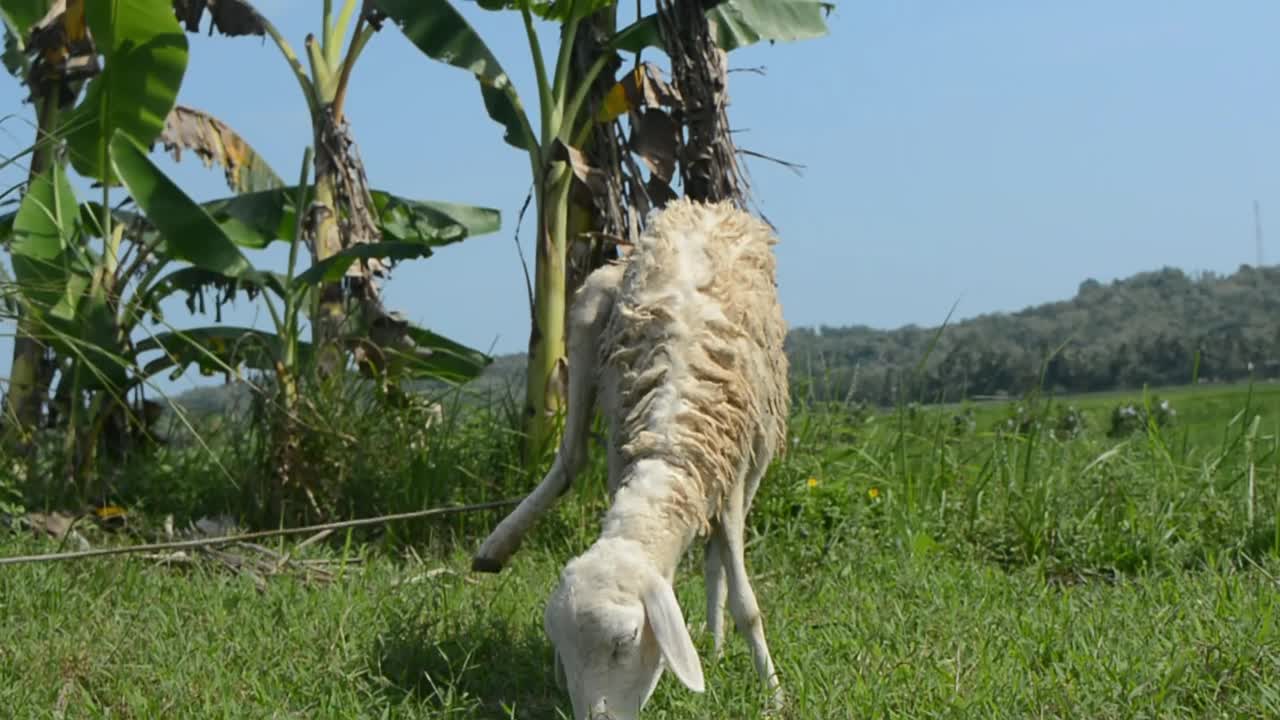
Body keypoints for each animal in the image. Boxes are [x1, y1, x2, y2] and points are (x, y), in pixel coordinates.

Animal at [473, 196, 788, 717]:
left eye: (625, 641)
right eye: (564, 650)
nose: (594, 718)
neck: (670, 449)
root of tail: (702, 204)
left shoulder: (731, 469)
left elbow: (746, 599)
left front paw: (774, 690)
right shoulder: (624, 451)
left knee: (717, 552)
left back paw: (716, 640)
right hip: (590, 306)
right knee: (570, 456)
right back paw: (496, 545)